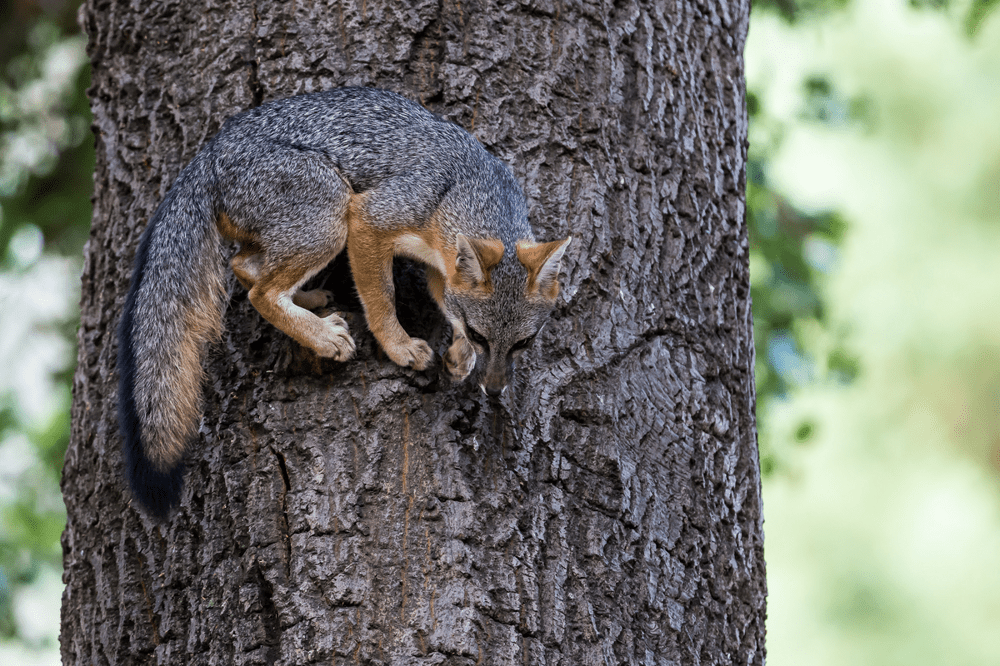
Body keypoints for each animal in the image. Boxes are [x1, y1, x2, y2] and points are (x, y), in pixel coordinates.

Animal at [117, 87, 572, 512]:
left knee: (245, 266)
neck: (464, 188)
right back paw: (321, 337)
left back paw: (309, 299)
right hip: (331, 213)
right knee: (260, 292)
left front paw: (460, 356)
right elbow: (382, 296)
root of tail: (208, 153)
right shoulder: (370, 219)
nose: (494, 391)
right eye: (482, 335)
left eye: (523, 343)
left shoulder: (440, 266)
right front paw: (400, 346)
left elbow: (448, 306)